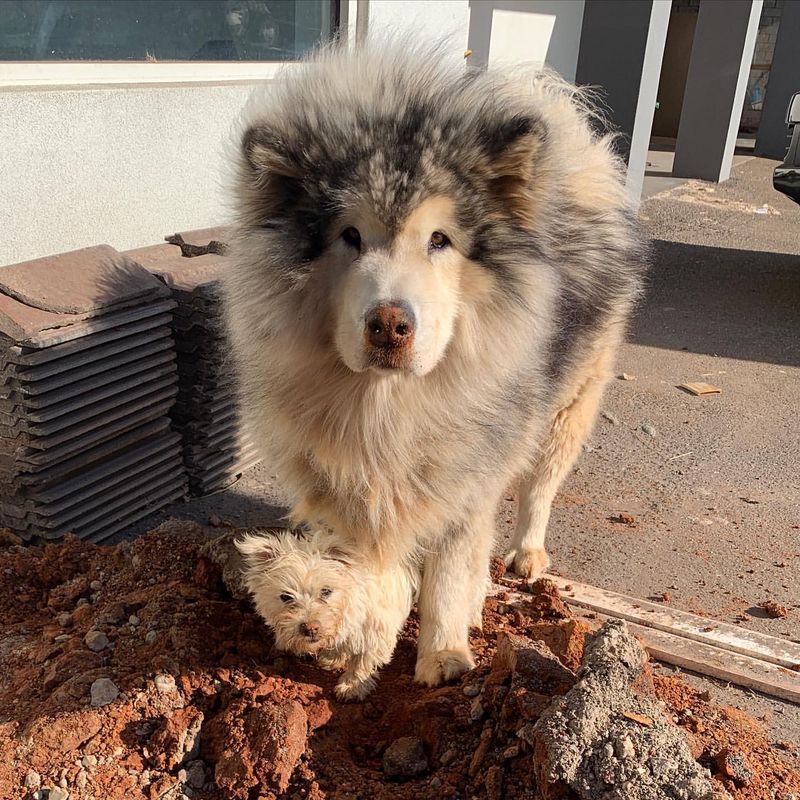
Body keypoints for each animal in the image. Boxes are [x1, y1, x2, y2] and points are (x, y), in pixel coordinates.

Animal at [234, 528, 416, 696]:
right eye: (285, 596)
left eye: (326, 591)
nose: (310, 628)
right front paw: (333, 657)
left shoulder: (377, 627)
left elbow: (362, 660)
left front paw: (352, 686)